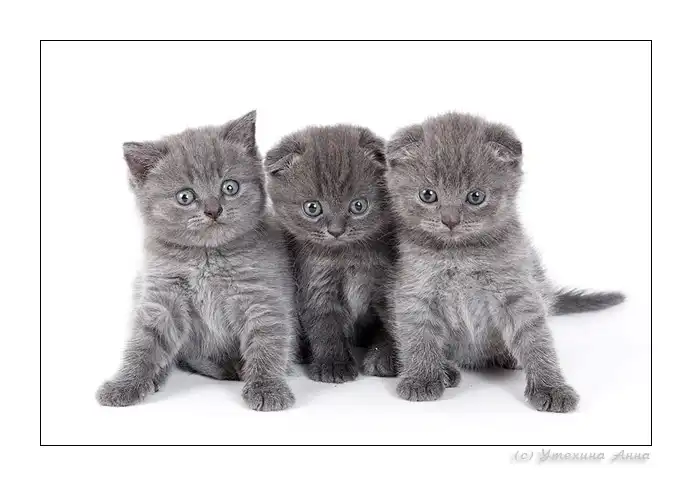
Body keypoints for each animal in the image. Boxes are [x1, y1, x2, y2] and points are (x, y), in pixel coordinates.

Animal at [96, 111, 297, 411]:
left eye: (230, 187)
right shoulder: (162, 294)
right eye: (185, 196)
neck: (205, 257)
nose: (213, 210)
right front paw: (126, 383)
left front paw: (267, 387)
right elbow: (144, 342)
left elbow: (267, 341)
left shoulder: (260, 294)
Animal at [264, 124, 397, 383]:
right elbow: (325, 324)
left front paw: (386, 357)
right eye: (312, 208)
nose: (336, 230)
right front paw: (333, 363)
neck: (347, 256)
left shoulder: (385, 280)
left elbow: (392, 323)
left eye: (358, 205)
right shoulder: (316, 279)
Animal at [385, 112, 624, 412]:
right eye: (428, 195)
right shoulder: (414, 292)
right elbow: (418, 337)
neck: (460, 255)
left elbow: (536, 340)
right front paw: (422, 378)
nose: (450, 220)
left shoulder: (518, 291)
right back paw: (447, 370)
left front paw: (551, 387)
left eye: (476, 196)